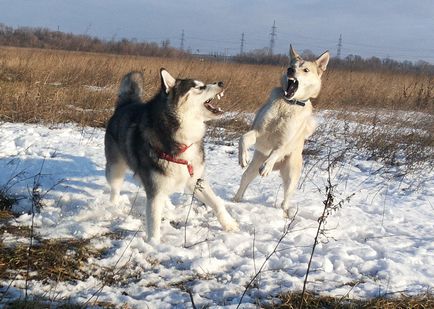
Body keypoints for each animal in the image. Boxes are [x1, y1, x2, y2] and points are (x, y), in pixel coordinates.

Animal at [234, 45, 328, 215]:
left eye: (305, 70)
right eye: (291, 65)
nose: (291, 70)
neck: (288, 104)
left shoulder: (284, 142)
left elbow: (277, 151)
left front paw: (267, 167)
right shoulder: (258, 132)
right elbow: (243, 138)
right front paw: (243, 157)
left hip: (291, 176)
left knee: (286, 200)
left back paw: (285, 214)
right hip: (252, 170)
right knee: (244, 182)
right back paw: (234, 201)